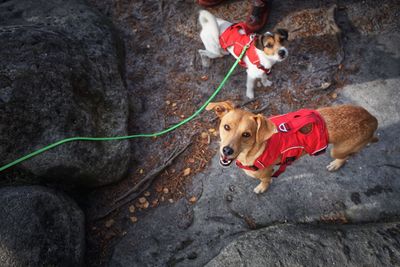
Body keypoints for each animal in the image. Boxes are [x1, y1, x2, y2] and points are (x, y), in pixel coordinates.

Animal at [206, 101, 378, 194]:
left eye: (247, 134)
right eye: (226, 127)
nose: (227, 150)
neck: (252, 151)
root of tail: (372, 119)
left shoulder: (266, 173)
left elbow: (266, 181)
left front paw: (262, 188)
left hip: (337, 150)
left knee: (345, 157)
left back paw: (336, 164)